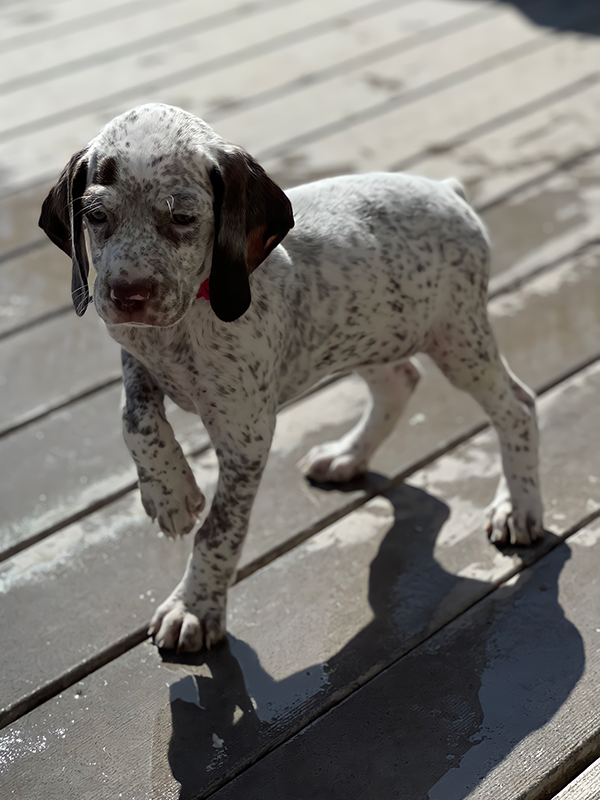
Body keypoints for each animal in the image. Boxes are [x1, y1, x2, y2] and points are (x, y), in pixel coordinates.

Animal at [37, 106, 544, 652]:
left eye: (182, 218)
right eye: (95, 217)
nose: (128, 294)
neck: (194, 315)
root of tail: (449, 191)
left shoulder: (246, 436)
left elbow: (219, 530)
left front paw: (193, 607)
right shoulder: (137, 357)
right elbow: (136, 422)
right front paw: (168, 495)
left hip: (458, 339)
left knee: (517, 406)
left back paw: (518, 508)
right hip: (369, 330)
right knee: (400, 381)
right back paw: (348, 455)